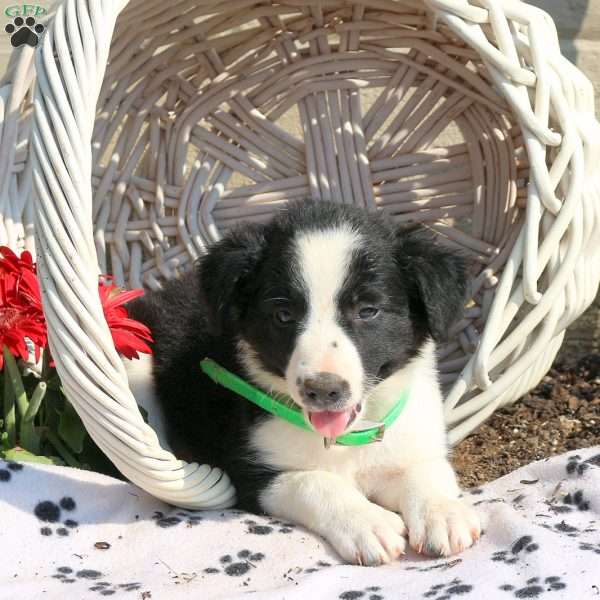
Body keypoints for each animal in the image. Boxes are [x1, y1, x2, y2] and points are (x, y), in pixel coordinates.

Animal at [129, 203, 480, 568]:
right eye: (283, 315)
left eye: (368, 310)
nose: (323, 389)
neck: (345, 440)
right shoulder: (249, 472)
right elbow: (314, 481)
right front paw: (369, 523)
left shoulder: (412, 438)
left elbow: (427, 471)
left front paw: (442, 513)